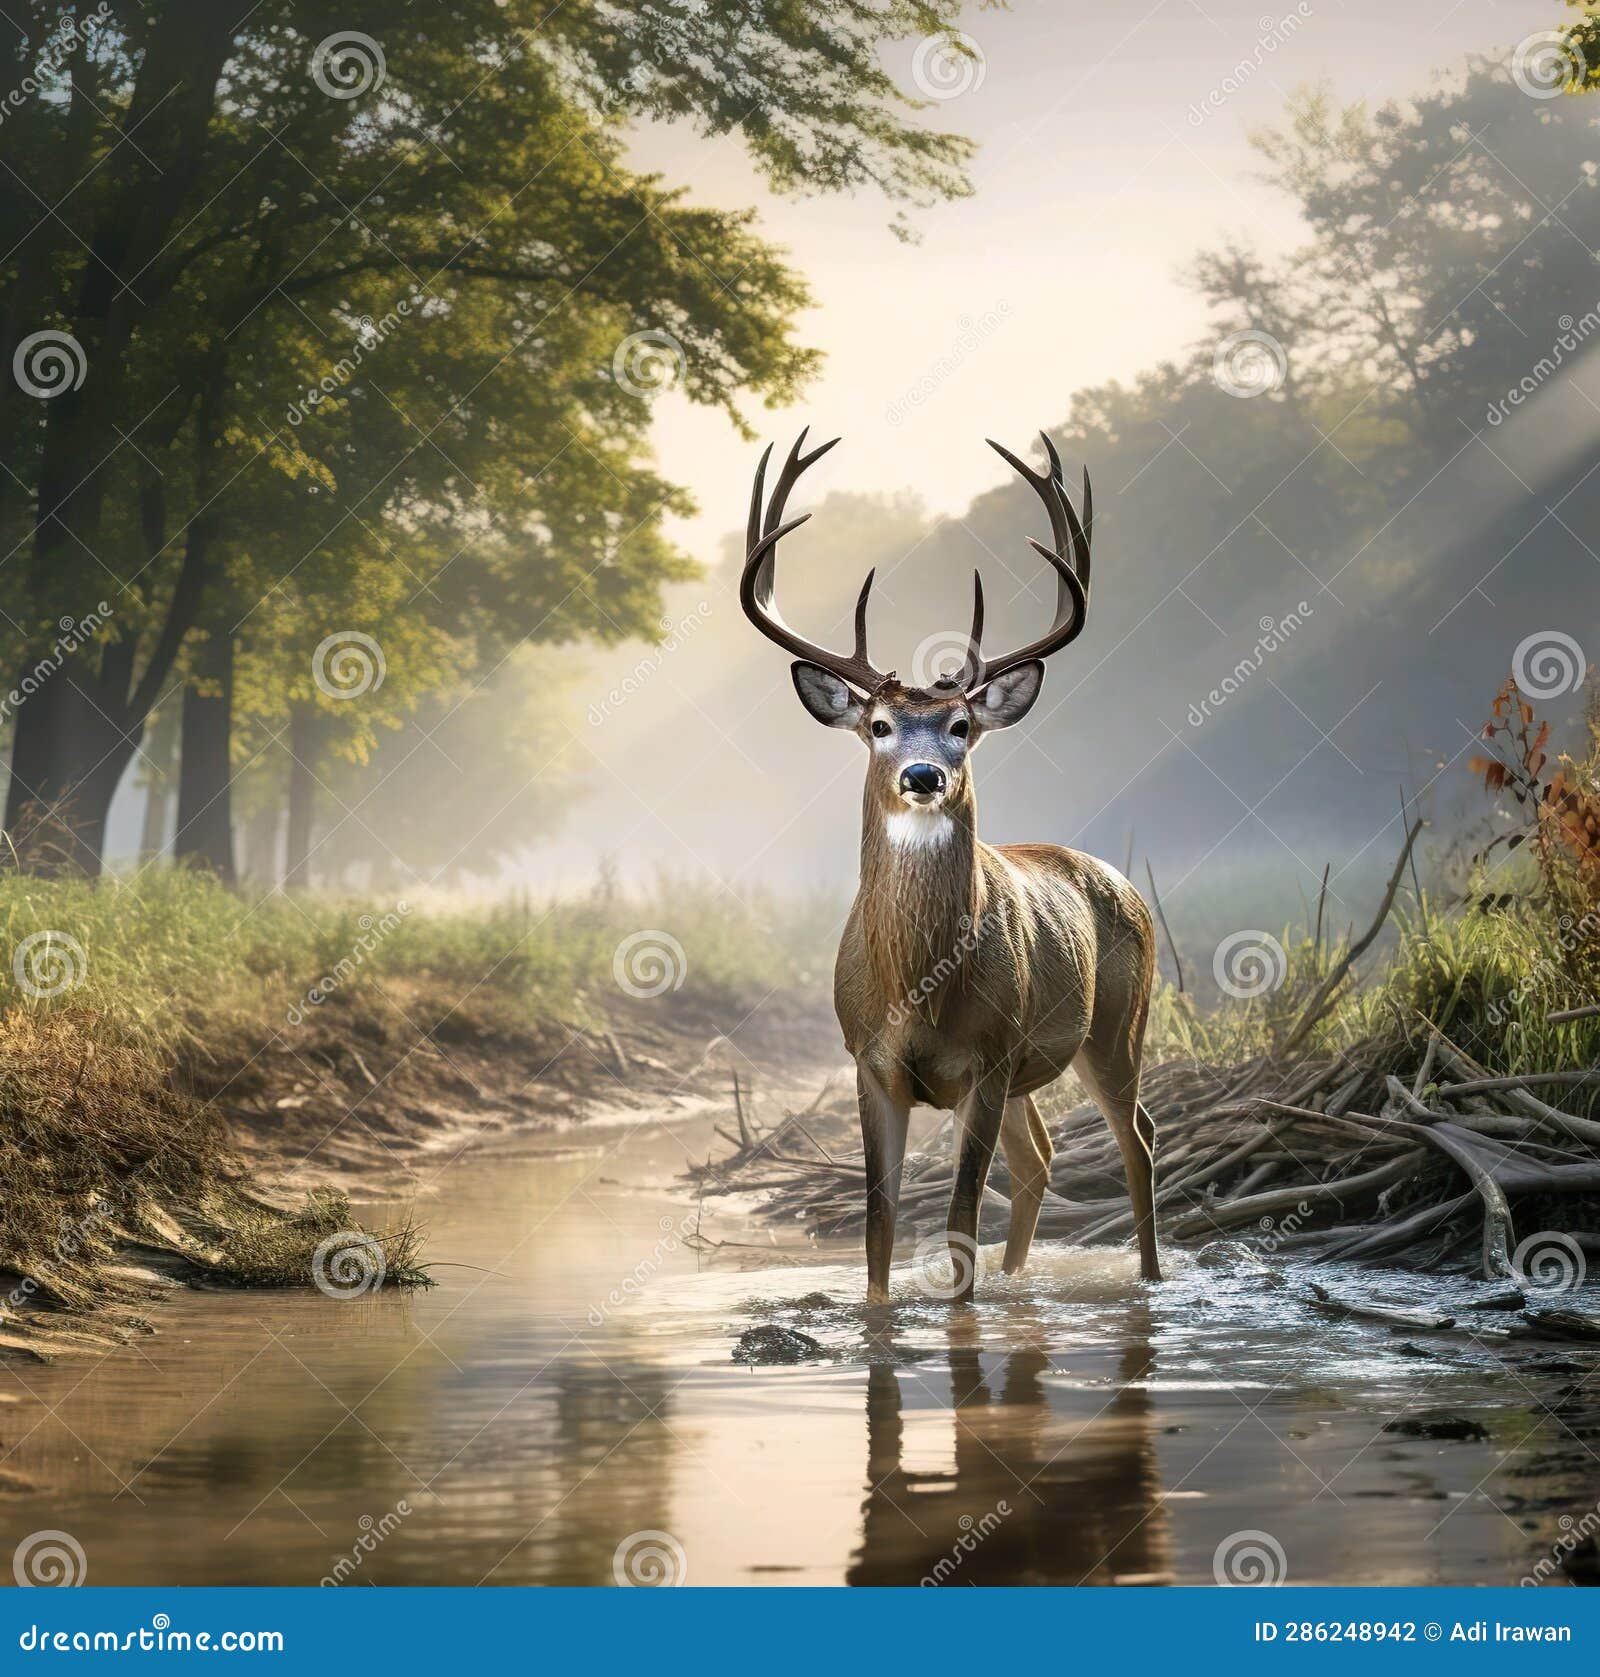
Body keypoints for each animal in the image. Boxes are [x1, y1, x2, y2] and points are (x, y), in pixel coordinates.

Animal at [739, 429, 1160, 1304]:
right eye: (879, 724)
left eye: (962, 724)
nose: (924, 775)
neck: (920, 990)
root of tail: (1125, 884)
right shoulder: (869, 1062)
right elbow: (878, 1220)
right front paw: (880, 1313)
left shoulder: (987, 1058)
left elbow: (962, 1211)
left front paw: (960, 1313)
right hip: (1040, 1064)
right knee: (1041, 1159)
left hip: (1116, 1025)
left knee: (1137, 1140)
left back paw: (1150, 1281)